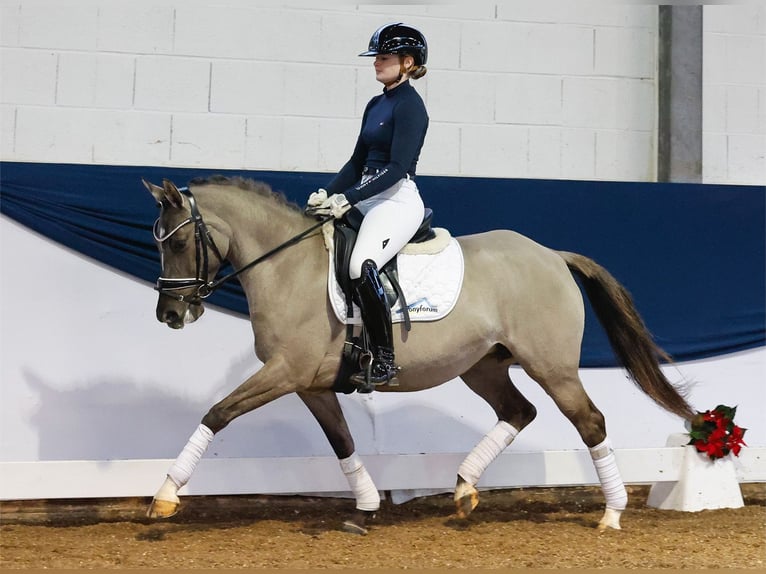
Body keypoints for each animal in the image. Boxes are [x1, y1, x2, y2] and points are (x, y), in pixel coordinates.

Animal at [142, 177, 696, 536]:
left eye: (182, 240)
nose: (169, 314)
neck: (287, 266)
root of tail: (552, 255)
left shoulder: (284, 372)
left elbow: (217, 412)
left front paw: (165, 497)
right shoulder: (310, 384)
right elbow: (342, 442)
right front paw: (365, 509)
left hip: (551, 365)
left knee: (590, 421)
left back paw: (612, 513)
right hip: (483, 366)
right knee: (519, 411)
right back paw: (464, 490)